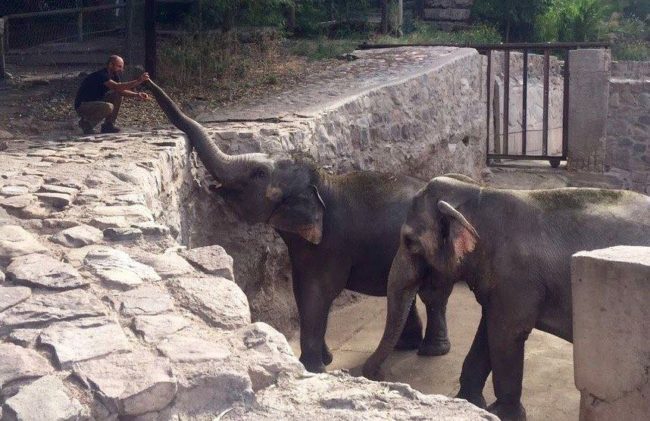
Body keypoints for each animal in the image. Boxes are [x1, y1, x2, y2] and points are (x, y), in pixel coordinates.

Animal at [144, 80, 453, 373]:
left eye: (259, 174)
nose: (144, 78)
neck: (325, 182)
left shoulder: (332, 243)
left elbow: (317, 292)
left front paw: (313, 368)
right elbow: (302, 290)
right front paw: (325, 360)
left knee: (432, 294)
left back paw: (432, 352)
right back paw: (407, 346)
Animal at [362, 175, 650, 420]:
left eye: (409, 241)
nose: (377, 374)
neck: (480, 194)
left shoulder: (516, 276)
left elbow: (505, 334)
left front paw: (501, 413)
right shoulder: (500, 283)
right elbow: (487, 331)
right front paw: (466, 402)